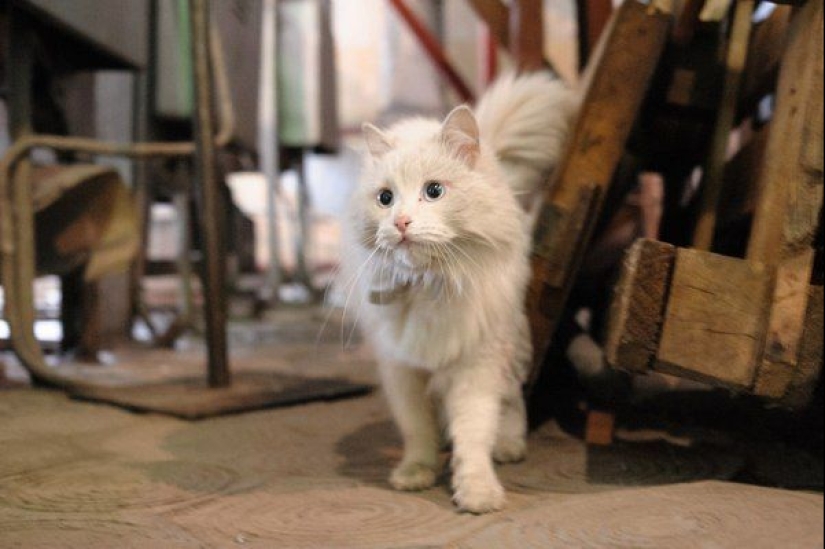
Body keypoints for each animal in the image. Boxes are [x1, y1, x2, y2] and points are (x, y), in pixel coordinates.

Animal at [338, 70, 576, 512]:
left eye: (434, 191)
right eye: (385, 198)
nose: (401, 223)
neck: (428, 284)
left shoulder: (475, 365)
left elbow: (473, 433)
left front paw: (478, 493)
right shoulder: (402, 370)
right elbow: (417, 430)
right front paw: (416, 473)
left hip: (508, 346)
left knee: (512, 401)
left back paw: (509, 446)